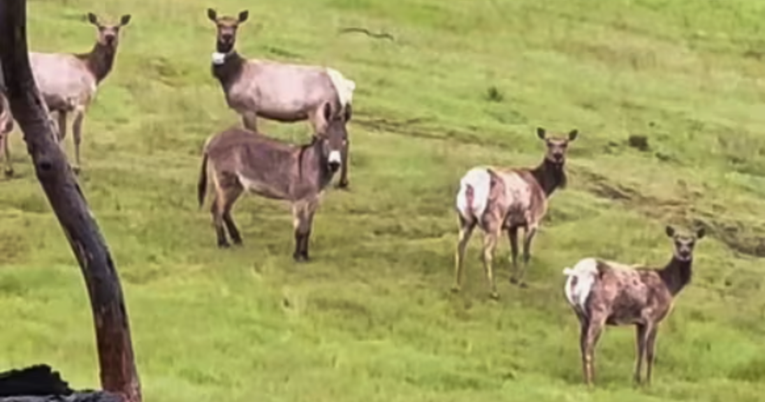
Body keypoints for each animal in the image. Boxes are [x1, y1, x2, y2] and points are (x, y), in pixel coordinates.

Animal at [197, 99, 352, 260]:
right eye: (326, 138)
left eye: (344, 140)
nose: (334, 164)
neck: (313, 165)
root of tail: (213, 139)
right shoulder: (299, 201)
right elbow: (300, 230)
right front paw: (297, 256)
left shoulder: (314, 201)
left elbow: (308, 230)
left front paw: (305, 255)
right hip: (225, 183)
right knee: (217, 209)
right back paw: (223, 243)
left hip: (236, 184)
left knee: (225, 210)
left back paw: (237, 239)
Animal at [204, 8, 356, 190]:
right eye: (219, 24)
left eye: (235, 25)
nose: (226, 36)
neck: (232, 75)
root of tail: (346, 87)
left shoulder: (249, 107)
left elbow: (253, 133)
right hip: (337, 113)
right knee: (344, 138)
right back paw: (343, 181)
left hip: (320, 111)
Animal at [450, 127, 576, 300]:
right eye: (549, 143)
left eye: (565, 143)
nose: (557, 156)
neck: (545, 186)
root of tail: (470, 185)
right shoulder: (532, 220)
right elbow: (526, 253)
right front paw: (522, 282)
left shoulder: (512, 225)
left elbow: (515, 251)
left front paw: (513, 278)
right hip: (493, 221)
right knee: (487, 253)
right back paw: (493, 291)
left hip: (465, 218)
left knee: (460, 247)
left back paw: (456, 285)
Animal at [560, 226, 704, 386]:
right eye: (677, 241)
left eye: (692, 242)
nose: (684, 253)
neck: (669, 285)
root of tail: (576, 273)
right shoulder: (652, 317)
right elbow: (649, 352)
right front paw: (647, 382)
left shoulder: (639, 322)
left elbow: (639, 349)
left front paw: (637, 379)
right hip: (599, 310)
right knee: (589, 344)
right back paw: (591, 382)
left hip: (580, 313)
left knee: (582, 343)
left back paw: (587, 379)